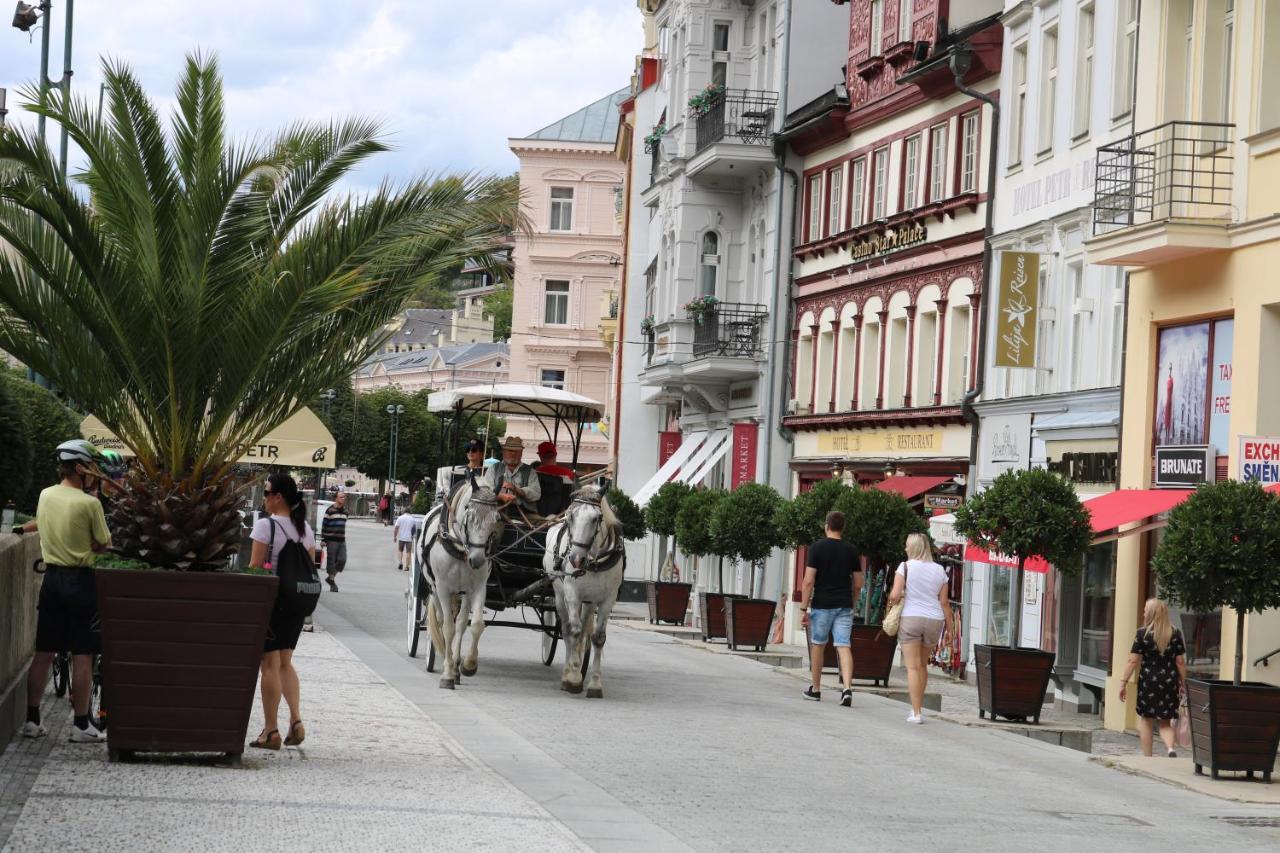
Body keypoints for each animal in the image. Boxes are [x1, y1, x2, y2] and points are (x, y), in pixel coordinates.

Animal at [419, 473, 499, 686]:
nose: (477, 560)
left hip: (463, 593)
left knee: (462, 623)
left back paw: (456, 666)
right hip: (434, 589)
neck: (460, 548)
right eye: (469, 513)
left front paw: (468, 664)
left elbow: (476, 624)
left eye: (497, 518)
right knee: (440, 621)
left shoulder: (478, 588)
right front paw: (447, 674)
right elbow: (448, 628)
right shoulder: (443, 588)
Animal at [547, 481, 627, 696]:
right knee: (567, 630)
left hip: (589, 602)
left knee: (584, 632)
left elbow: (597, 637)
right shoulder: (572, 595)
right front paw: (573, 677)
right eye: (570, 516)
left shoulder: (607, 600)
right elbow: (574, 631)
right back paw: (567, 673)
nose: (575, 559)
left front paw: (595, 684)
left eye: (597, 518)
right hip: (560, 596)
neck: (595, 561)